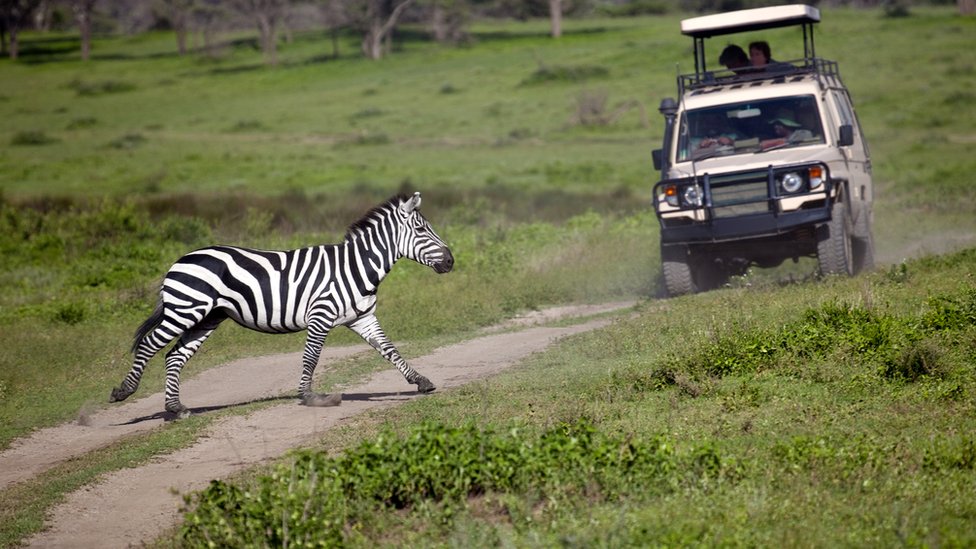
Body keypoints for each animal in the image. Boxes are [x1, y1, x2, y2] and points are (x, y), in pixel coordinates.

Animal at [109, 191, 454, 418]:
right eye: (421, 229)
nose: (451, 261)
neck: (356, 266)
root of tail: (178, 260)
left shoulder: (363, 317)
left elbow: (390, 349)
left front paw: (420, 381)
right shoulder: (320, 315)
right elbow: (311, 357)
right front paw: (309, 396)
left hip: (207, 317)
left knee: (174, 356)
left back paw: (176, 408)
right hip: (186, 309)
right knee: (149, 345)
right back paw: (124, 391)